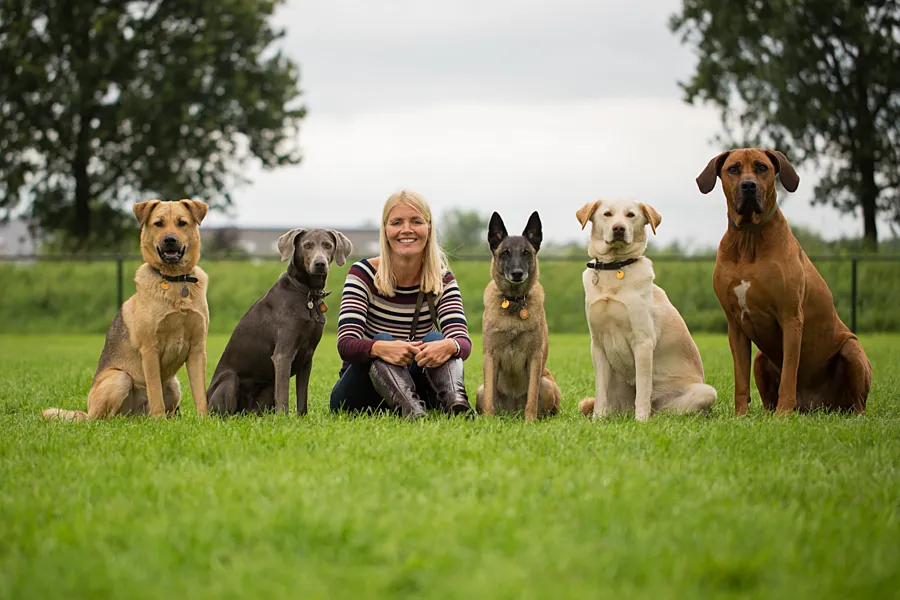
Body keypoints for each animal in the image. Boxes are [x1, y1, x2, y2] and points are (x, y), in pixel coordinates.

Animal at [43, 199, 212, 420]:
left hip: (174, 386)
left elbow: (200, 394)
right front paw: (159, 421)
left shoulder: (197, 349)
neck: (175, 281)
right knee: (103, 420)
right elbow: (155, 391)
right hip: (120, 378)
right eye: (158, 223)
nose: (170, 240)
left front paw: (204, 420)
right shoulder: (150, 349)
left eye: (182, 223)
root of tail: (134, 415)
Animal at [474, 213, 560, 420]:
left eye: (525, 253)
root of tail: (513, 413)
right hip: (480, 390)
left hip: (547, 385)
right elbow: (490, 397)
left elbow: (531, 397)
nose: (517, 273)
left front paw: (530, 422)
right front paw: (488, 421)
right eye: (505, 253)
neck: (513, 302)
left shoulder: (535, 357)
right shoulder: (490, 356)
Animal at [576, 199, 716, 420]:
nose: (619, 228)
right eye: (607, 214)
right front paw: (597, 419)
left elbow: (642, 388)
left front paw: (640, 421)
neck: (614, 268)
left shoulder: (643, 342)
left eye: (631, 215)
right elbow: (600, 392)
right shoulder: (597, 344)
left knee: (662, 409)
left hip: (706, 392)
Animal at [700, 148, 868, 414]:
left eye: (762, 167)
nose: (749, 185)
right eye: (733, 169)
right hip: (760, 359)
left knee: (858, 403)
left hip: (851, 348)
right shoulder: (735, 325)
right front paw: (741, 415)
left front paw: (783, 414)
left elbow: (789, 374)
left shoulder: (790, 318)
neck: (749, 237)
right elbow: (740, 379)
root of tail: (817, 406)